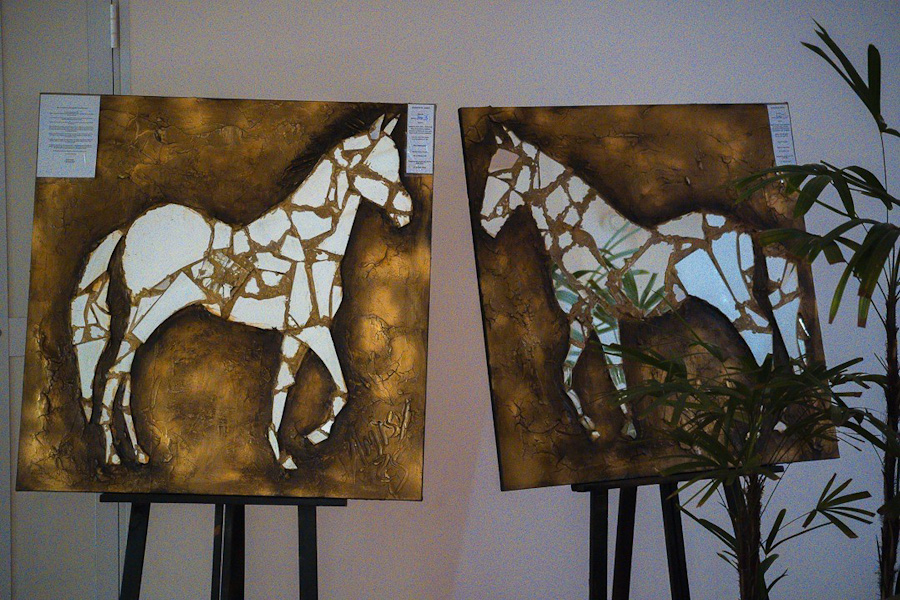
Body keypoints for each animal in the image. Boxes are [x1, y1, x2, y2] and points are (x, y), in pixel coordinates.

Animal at [70, 114, 413, 469]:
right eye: (373, 164)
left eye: (396, 162)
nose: (406, 212)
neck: (309, 243)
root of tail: (128, 230)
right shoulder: (314, 328)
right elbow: (343, 388)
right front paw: (313, 436)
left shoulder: (296, 332)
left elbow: (282, 387)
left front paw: (282, 456)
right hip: (146, 309)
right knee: (112, 373)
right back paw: (113, 456)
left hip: (145, 316)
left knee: (122, 373)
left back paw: (137, 453)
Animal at [478, 123, 806, 441]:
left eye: (504, 173)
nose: (487, 219)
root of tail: (751, 232)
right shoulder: (592, 312)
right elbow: (594, 365)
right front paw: (603, 428)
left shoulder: (601, 308)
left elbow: (605, 370)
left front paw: (621, 430)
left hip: (741, 304)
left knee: (769, 345)